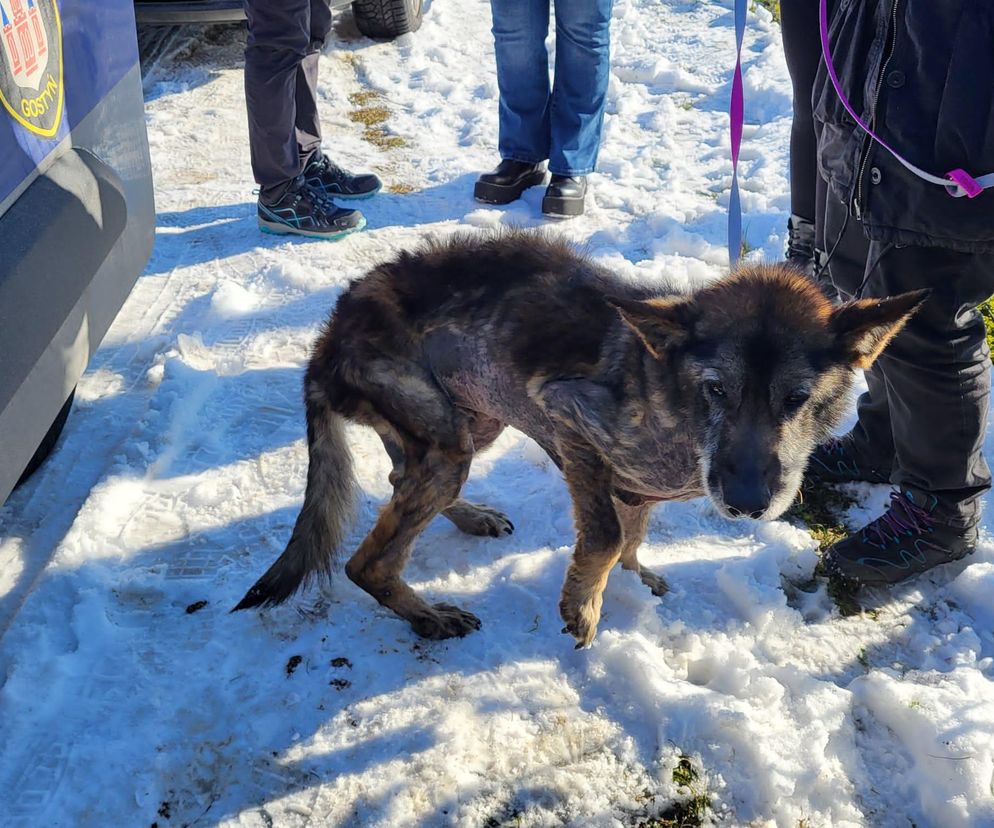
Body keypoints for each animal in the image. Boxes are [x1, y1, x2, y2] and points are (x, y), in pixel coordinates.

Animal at [232, 231, 924, 648]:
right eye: (717, 390)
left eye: (796, 399)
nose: (749, 505)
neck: (669, 398)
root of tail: (327, 340)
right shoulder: (568, 422)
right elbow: (609, 534)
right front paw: (583, 607)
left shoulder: (633, 484)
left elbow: (633, 535)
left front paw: (635, 578)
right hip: (449, 440)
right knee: (366, 562)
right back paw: (428, 616)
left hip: (468, 424)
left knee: (403, 482)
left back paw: (470, 519)